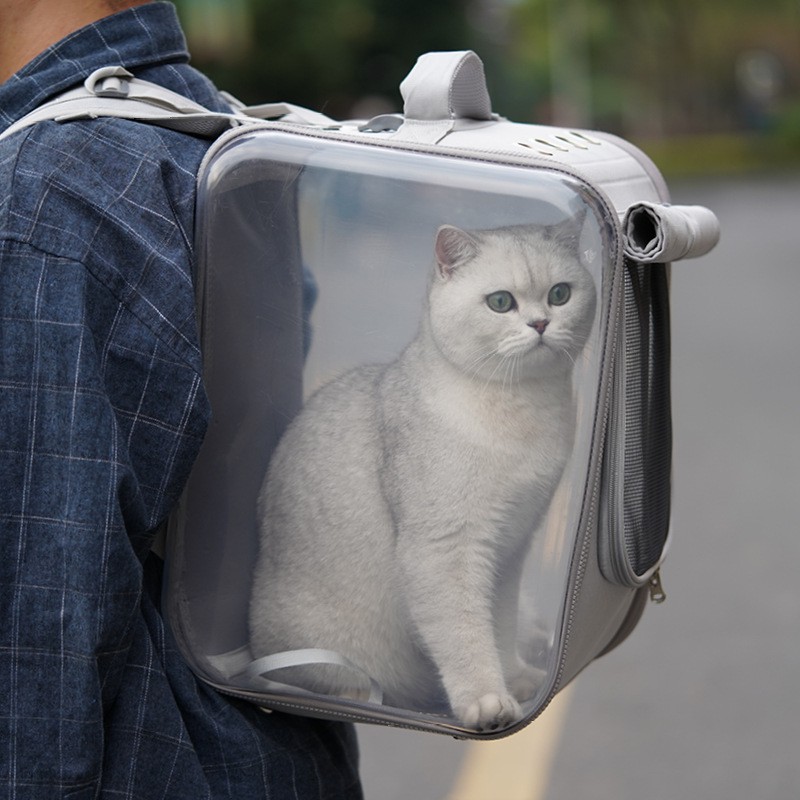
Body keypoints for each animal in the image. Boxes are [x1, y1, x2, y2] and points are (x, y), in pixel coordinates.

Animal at [248, 219, 592, 732]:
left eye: (560, 294)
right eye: (501, 302)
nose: (540, 324)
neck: (521, 409)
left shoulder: (509, 551)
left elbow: (499, 624)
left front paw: (513, 680)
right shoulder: (443, 548)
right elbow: (464, 635)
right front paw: (487, 702)